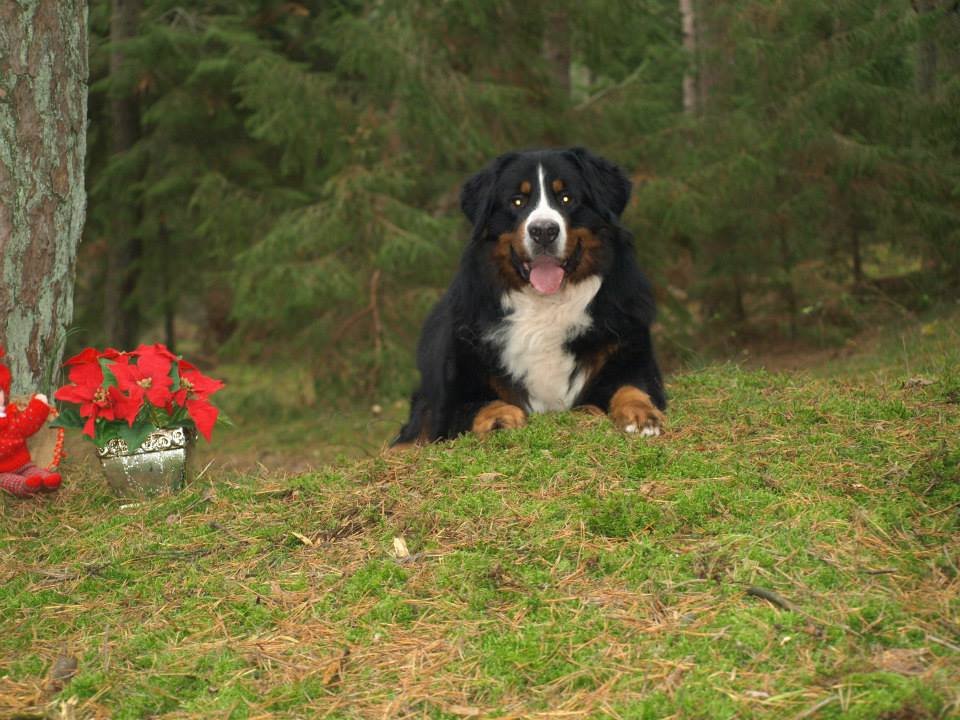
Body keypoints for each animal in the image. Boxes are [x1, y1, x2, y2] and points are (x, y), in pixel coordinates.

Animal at [393, 147, 665, 446]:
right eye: (517, 201)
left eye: (567, 198)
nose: (544, 231)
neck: (546, 305)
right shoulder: (452, 396)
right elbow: (480, 405)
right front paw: (499, 420)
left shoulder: (629, 354)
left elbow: (631, 388)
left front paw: (642, 414)